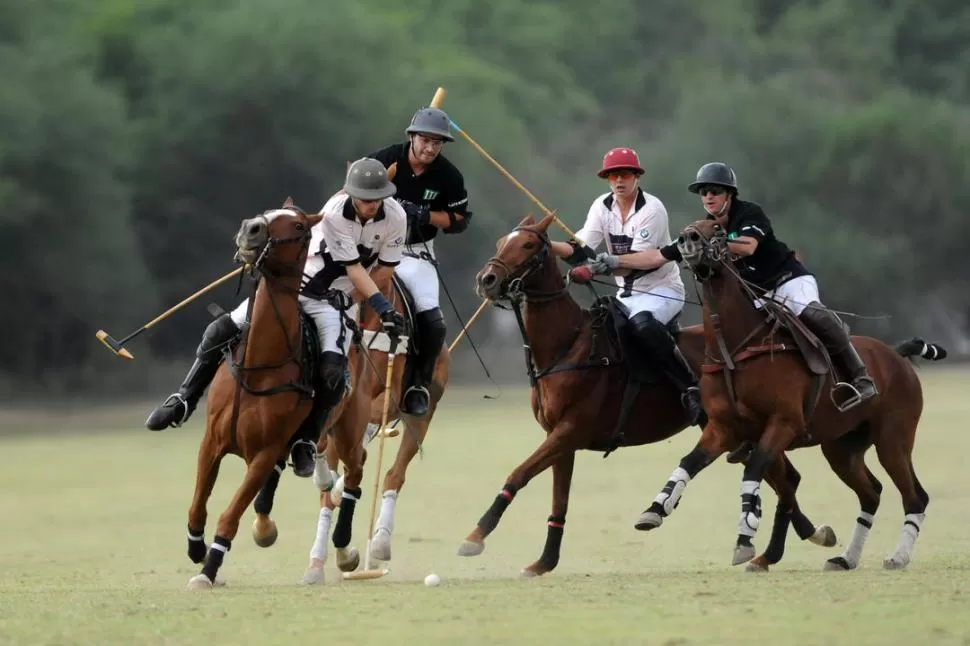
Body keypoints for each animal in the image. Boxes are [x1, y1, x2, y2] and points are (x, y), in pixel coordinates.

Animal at [460, 215, 832, 580]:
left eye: (527, 245)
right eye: (501, 243)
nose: (486, 279)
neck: (567, 346)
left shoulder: (570, 430)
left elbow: (519, 474)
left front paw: (475, 537)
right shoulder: (560, 436)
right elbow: (558, 500)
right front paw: (544, 562)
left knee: (784, 477)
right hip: (740, 431)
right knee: (785, 477)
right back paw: (807, 536)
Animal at [636, 219, 944, 572]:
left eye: (717, 229)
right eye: (691, 227)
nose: (689, 240)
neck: (736, 348)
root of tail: (896, 355)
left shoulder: (783, 423)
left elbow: (754, 470)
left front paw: (745, 537)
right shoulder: (723, 428)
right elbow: (689, 463)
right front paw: (655, 509)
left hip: (893, 438)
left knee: (914, 496)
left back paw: (897, 556)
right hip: (842, 448)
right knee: (871, 493)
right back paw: (845, 558)